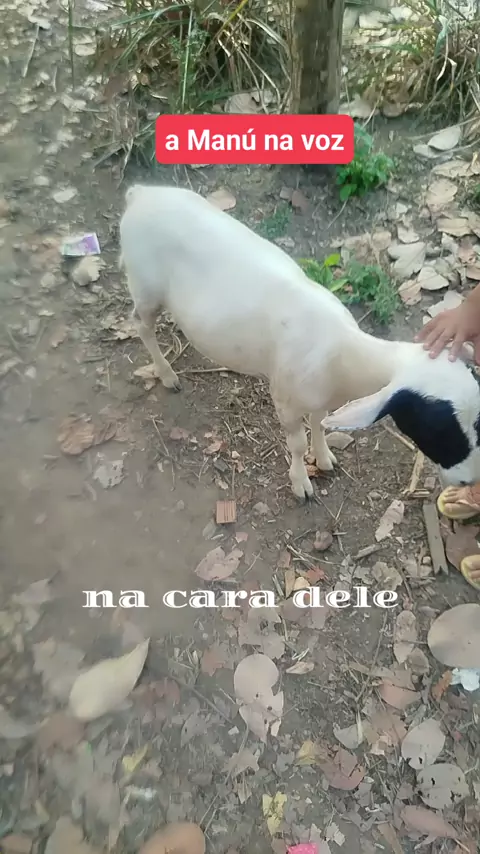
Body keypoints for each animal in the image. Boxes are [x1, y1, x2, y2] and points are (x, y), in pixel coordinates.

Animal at [119, 184, 480, 499]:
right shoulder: (286, 400)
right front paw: (301, 483)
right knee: (141, 325)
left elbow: (318, 424)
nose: (468, 482)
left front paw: (324, 458)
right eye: (437, 428)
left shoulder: (319, 397)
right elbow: (296, 444)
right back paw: (167, 375)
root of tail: (140, 193)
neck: (343, 354)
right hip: (144, 285)